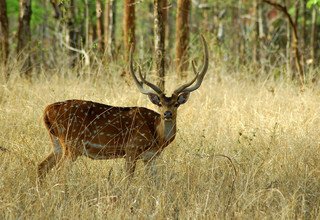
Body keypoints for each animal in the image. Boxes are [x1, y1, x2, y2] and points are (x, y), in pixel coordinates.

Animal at [37, 35, 209, 180]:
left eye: (176, 104)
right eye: (159, 103)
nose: (167, 114)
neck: (157, 137)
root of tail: (47, 110)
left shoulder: (151, 157)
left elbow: (155, 182)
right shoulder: (131, 149)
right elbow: (128, 179)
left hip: (56, 143)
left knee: (41, 166)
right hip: (72, 144)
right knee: (60, 172)